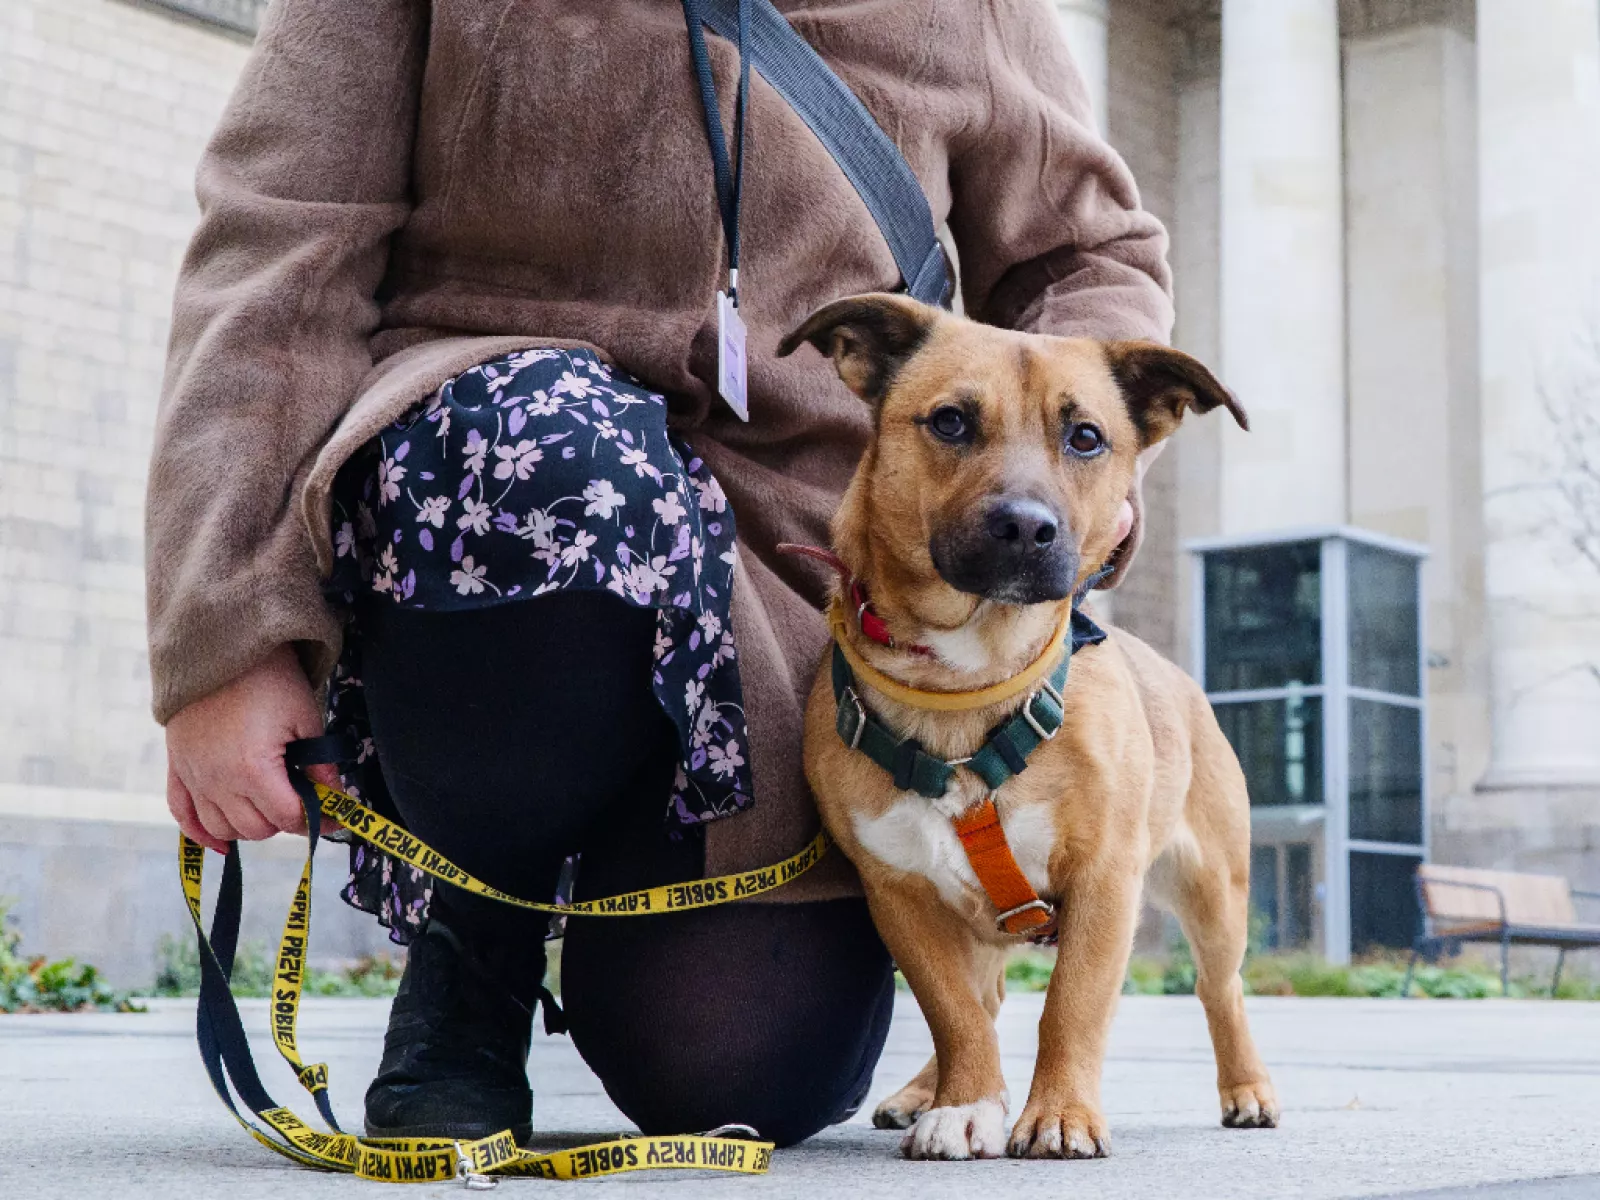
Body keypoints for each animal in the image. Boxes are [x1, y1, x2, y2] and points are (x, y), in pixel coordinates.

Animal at [777, 294, 1279, 1161]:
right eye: (950, 421)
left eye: (1086, 437)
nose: (1024, 527)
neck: (969, 683)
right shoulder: (900, 894)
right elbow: (953, 1012)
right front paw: (966, 1102)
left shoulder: (1106, 882)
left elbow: (1071, 1006)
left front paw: (1060, 1115)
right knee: (985, 998)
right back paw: (925, 1090)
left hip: (1215, 891)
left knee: (1222, 989)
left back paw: (1247, 1089)